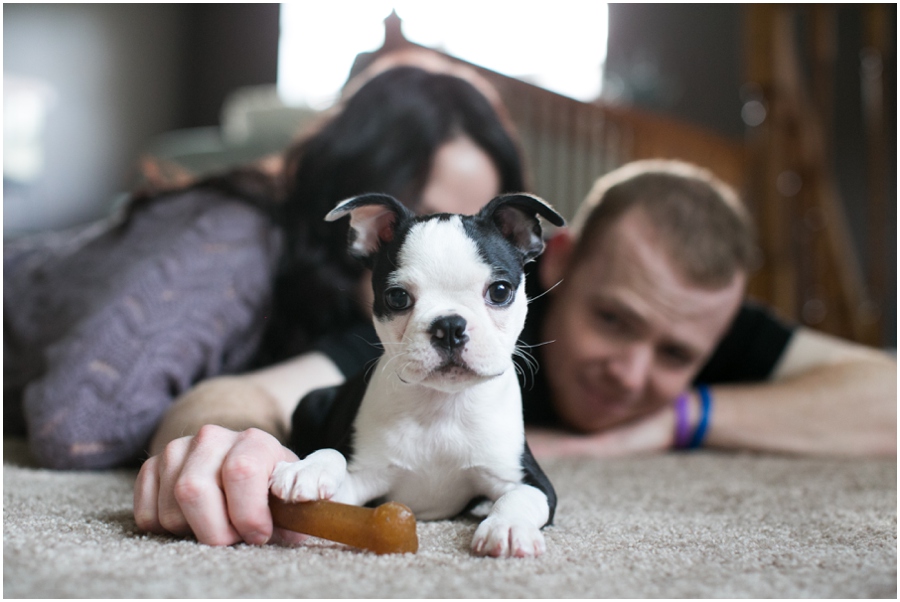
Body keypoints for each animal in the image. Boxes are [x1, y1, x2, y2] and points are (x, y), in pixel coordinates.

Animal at [268, 193, 564, 556]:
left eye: (499, 291)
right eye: (397, 297)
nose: (449, 326)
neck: (441, 406)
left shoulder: (528, 479)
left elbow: (520, 497)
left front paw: (507, 527)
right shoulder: (360, 477)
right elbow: (333, 454)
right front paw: (306, 469)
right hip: (310, 401)